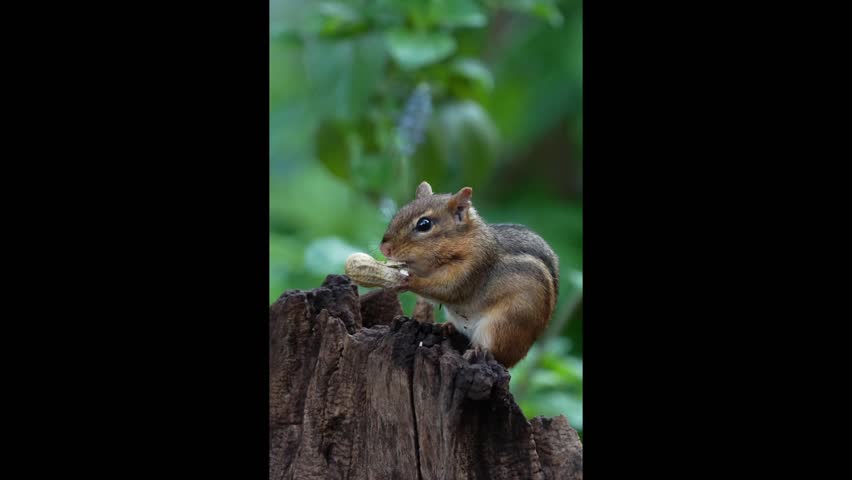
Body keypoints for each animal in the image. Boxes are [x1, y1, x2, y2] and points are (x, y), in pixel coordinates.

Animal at [379, 181, 559, 368]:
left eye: (424, 224)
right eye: (399, 213)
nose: (384, 248)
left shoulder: (471, 269)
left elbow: (445, 288)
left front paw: (408, 280)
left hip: (501, 326)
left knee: (496, 354)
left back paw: (478, 350)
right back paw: (446, 327)